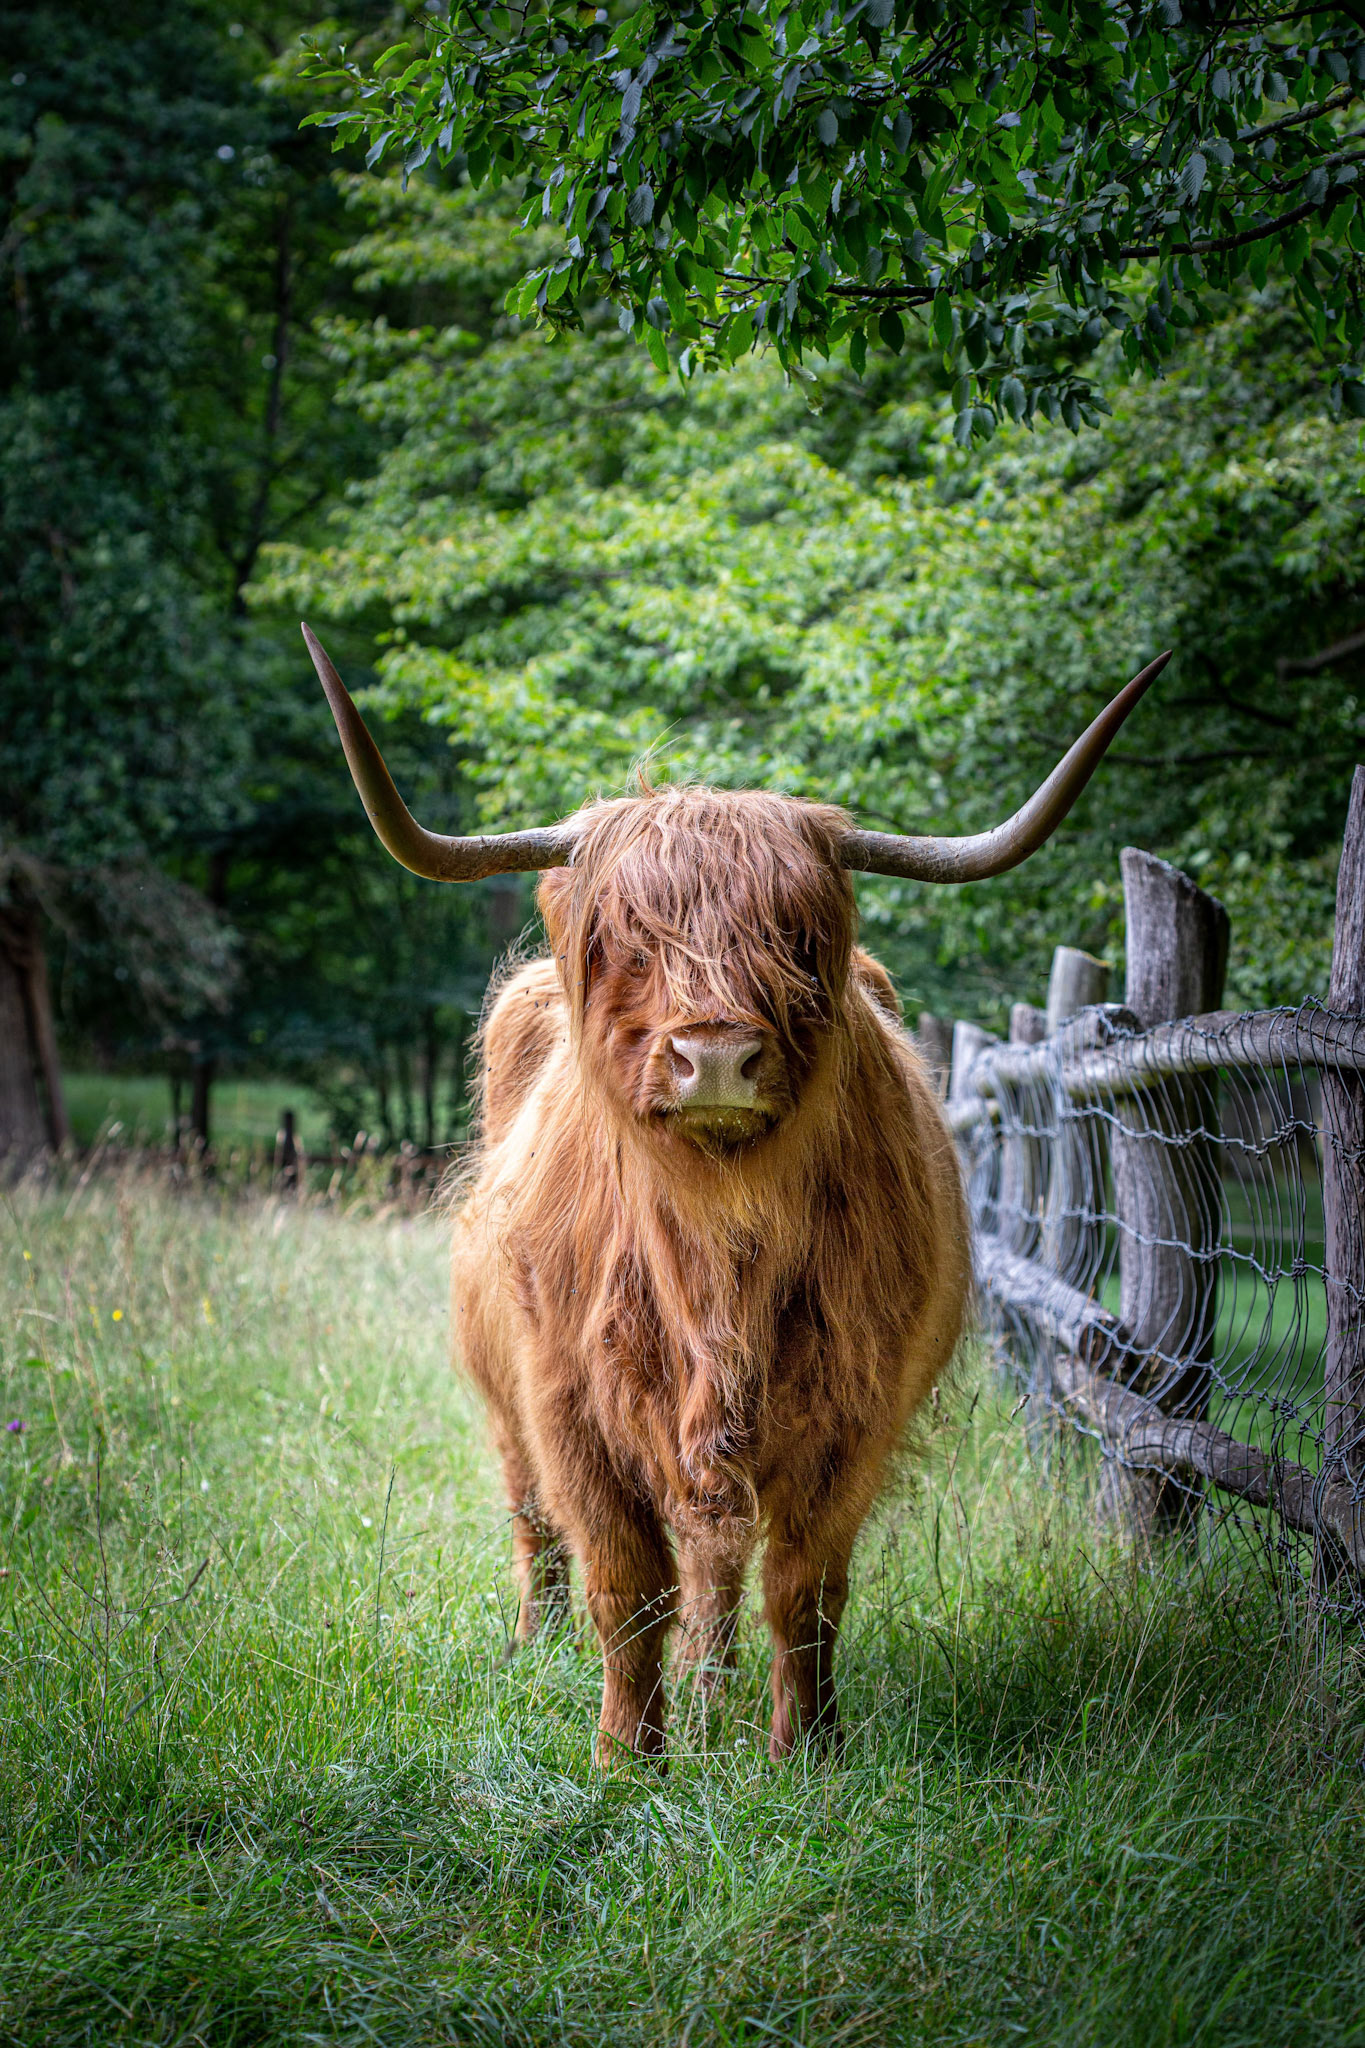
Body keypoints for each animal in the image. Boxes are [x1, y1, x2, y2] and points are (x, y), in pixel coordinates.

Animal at [303, 624, 1168, 1763]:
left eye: (792, 933)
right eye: (623, 937)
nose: (712, 1055)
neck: (718, 1246)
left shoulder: (854, 1409)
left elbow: (801, 1586)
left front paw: (806, 1749)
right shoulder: (568, 1402)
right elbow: (625, 1581)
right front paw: (626, 1756)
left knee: (717, 1558)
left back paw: (712, 1700)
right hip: (506, 1405)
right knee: (539, 1527)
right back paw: (540, 1648)